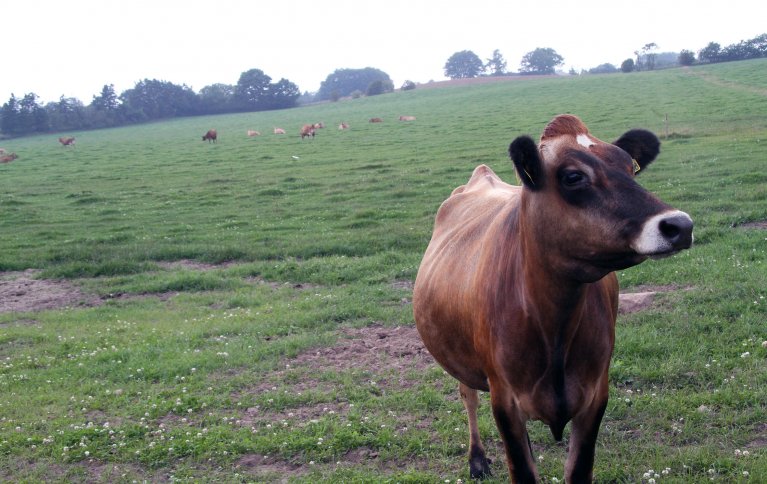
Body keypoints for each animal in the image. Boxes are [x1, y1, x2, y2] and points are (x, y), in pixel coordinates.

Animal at [414, 115, 696, 482]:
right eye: (573, 176)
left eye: (631, 168)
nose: (680, 225)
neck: (554, 325)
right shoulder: (504, 400)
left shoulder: (595, 394)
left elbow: (577, 469)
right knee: (468, 396)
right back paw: (477, 459)